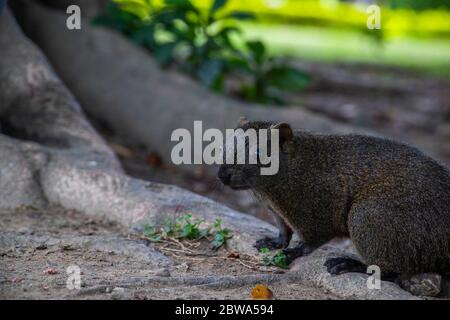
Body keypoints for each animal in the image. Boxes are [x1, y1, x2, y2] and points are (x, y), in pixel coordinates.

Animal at [217, 117, 446, 278]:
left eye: (258, 153)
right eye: (223, 145)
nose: (222, 174)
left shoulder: (315, 206)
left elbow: (313, 238)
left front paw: (294, 252)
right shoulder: (276, 211)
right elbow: (284, 230)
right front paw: (274, 242)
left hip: (369, 217)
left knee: (392, 268)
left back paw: (350, 265)